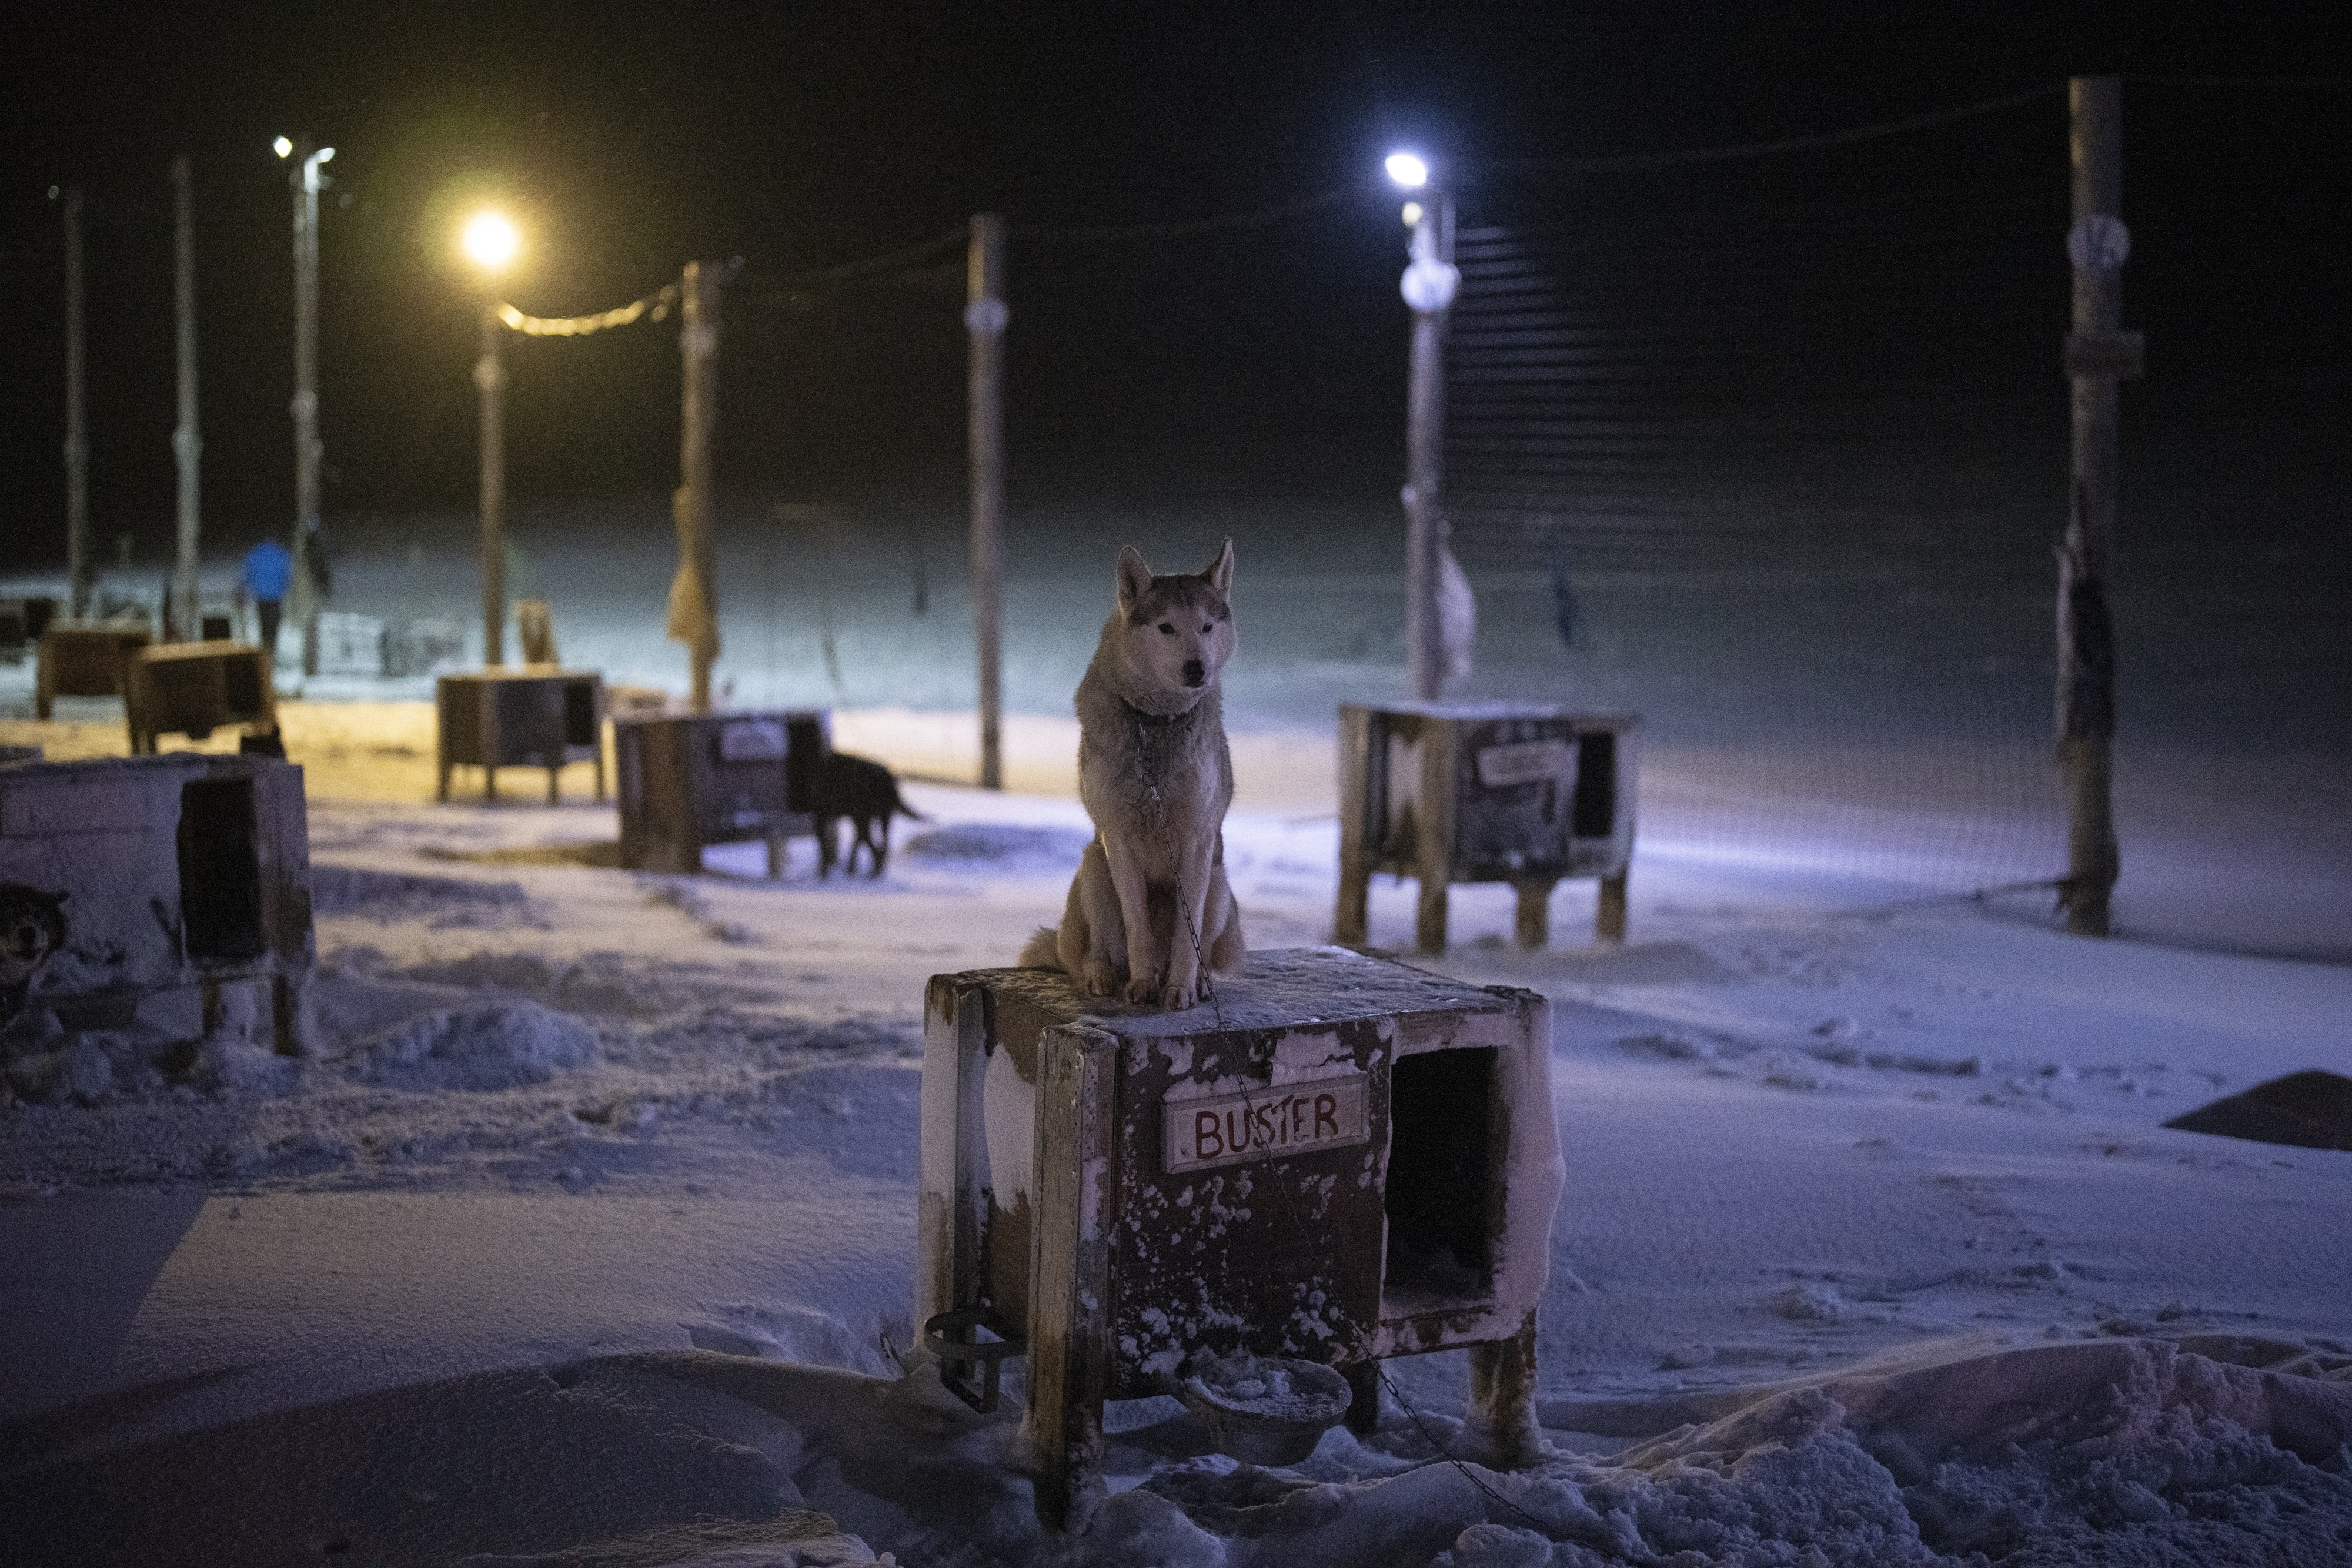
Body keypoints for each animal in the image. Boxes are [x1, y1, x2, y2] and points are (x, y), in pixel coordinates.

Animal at [804, 752, 922, 879]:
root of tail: (889, 781)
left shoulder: (823, 814)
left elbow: (823, 840)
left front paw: (824, 872)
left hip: (869, 815)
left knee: (871, 840)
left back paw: (871, 869)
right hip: (881, 816)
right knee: (880, 841)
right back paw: (870, 868)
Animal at [1025, 540, 1251, 1006]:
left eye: (1206, 627)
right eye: (1166, 627)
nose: (1196, 668)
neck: (1155, 725)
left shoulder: (1198, 842)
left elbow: (1187, 936)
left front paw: (1180, 989)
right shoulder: (1118, 838)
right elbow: (1137, 928)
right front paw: (1144, 985)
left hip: (1219, 885)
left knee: (1201, 944)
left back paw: (1199, 983)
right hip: (1094, 869)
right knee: (1095, 952)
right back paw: (1103, 975)